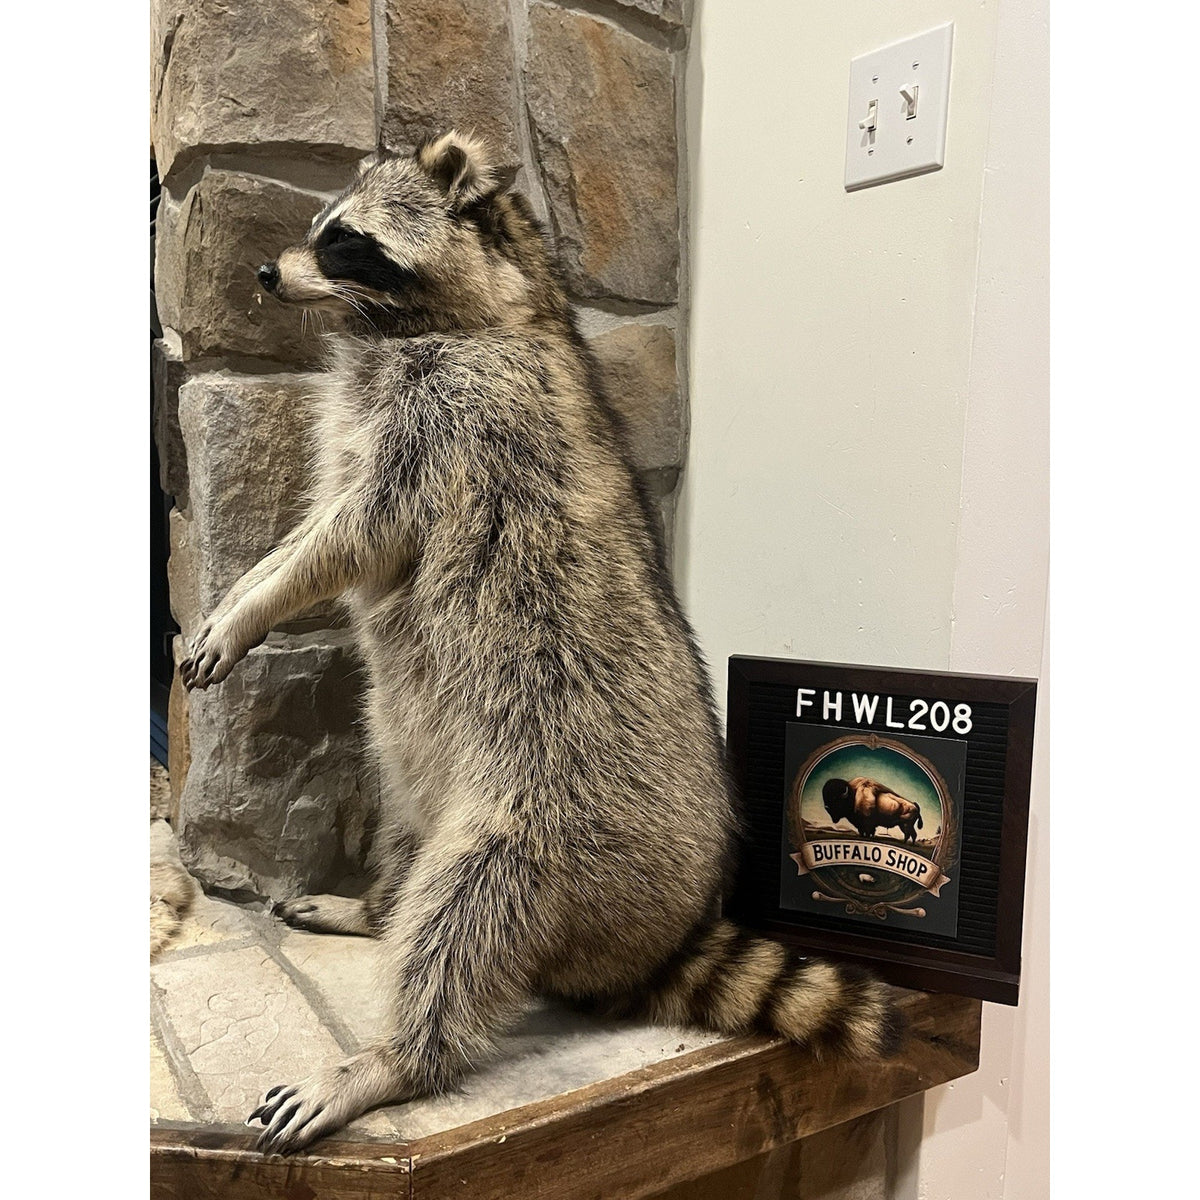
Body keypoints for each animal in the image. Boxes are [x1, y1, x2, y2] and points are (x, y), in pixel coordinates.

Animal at [180, 132, 902, 1155]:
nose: (267, 272)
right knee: (406, 832)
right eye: (318, 229)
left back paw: (395, 1056)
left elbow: (348, 535)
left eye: (344, 242)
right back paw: (374, 906)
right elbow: (316, 528)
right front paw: (245, 588)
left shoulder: (454, 421)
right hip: (417, 772)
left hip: (550, 809)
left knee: (465, 914)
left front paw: (255, 601)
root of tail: (657, 937)